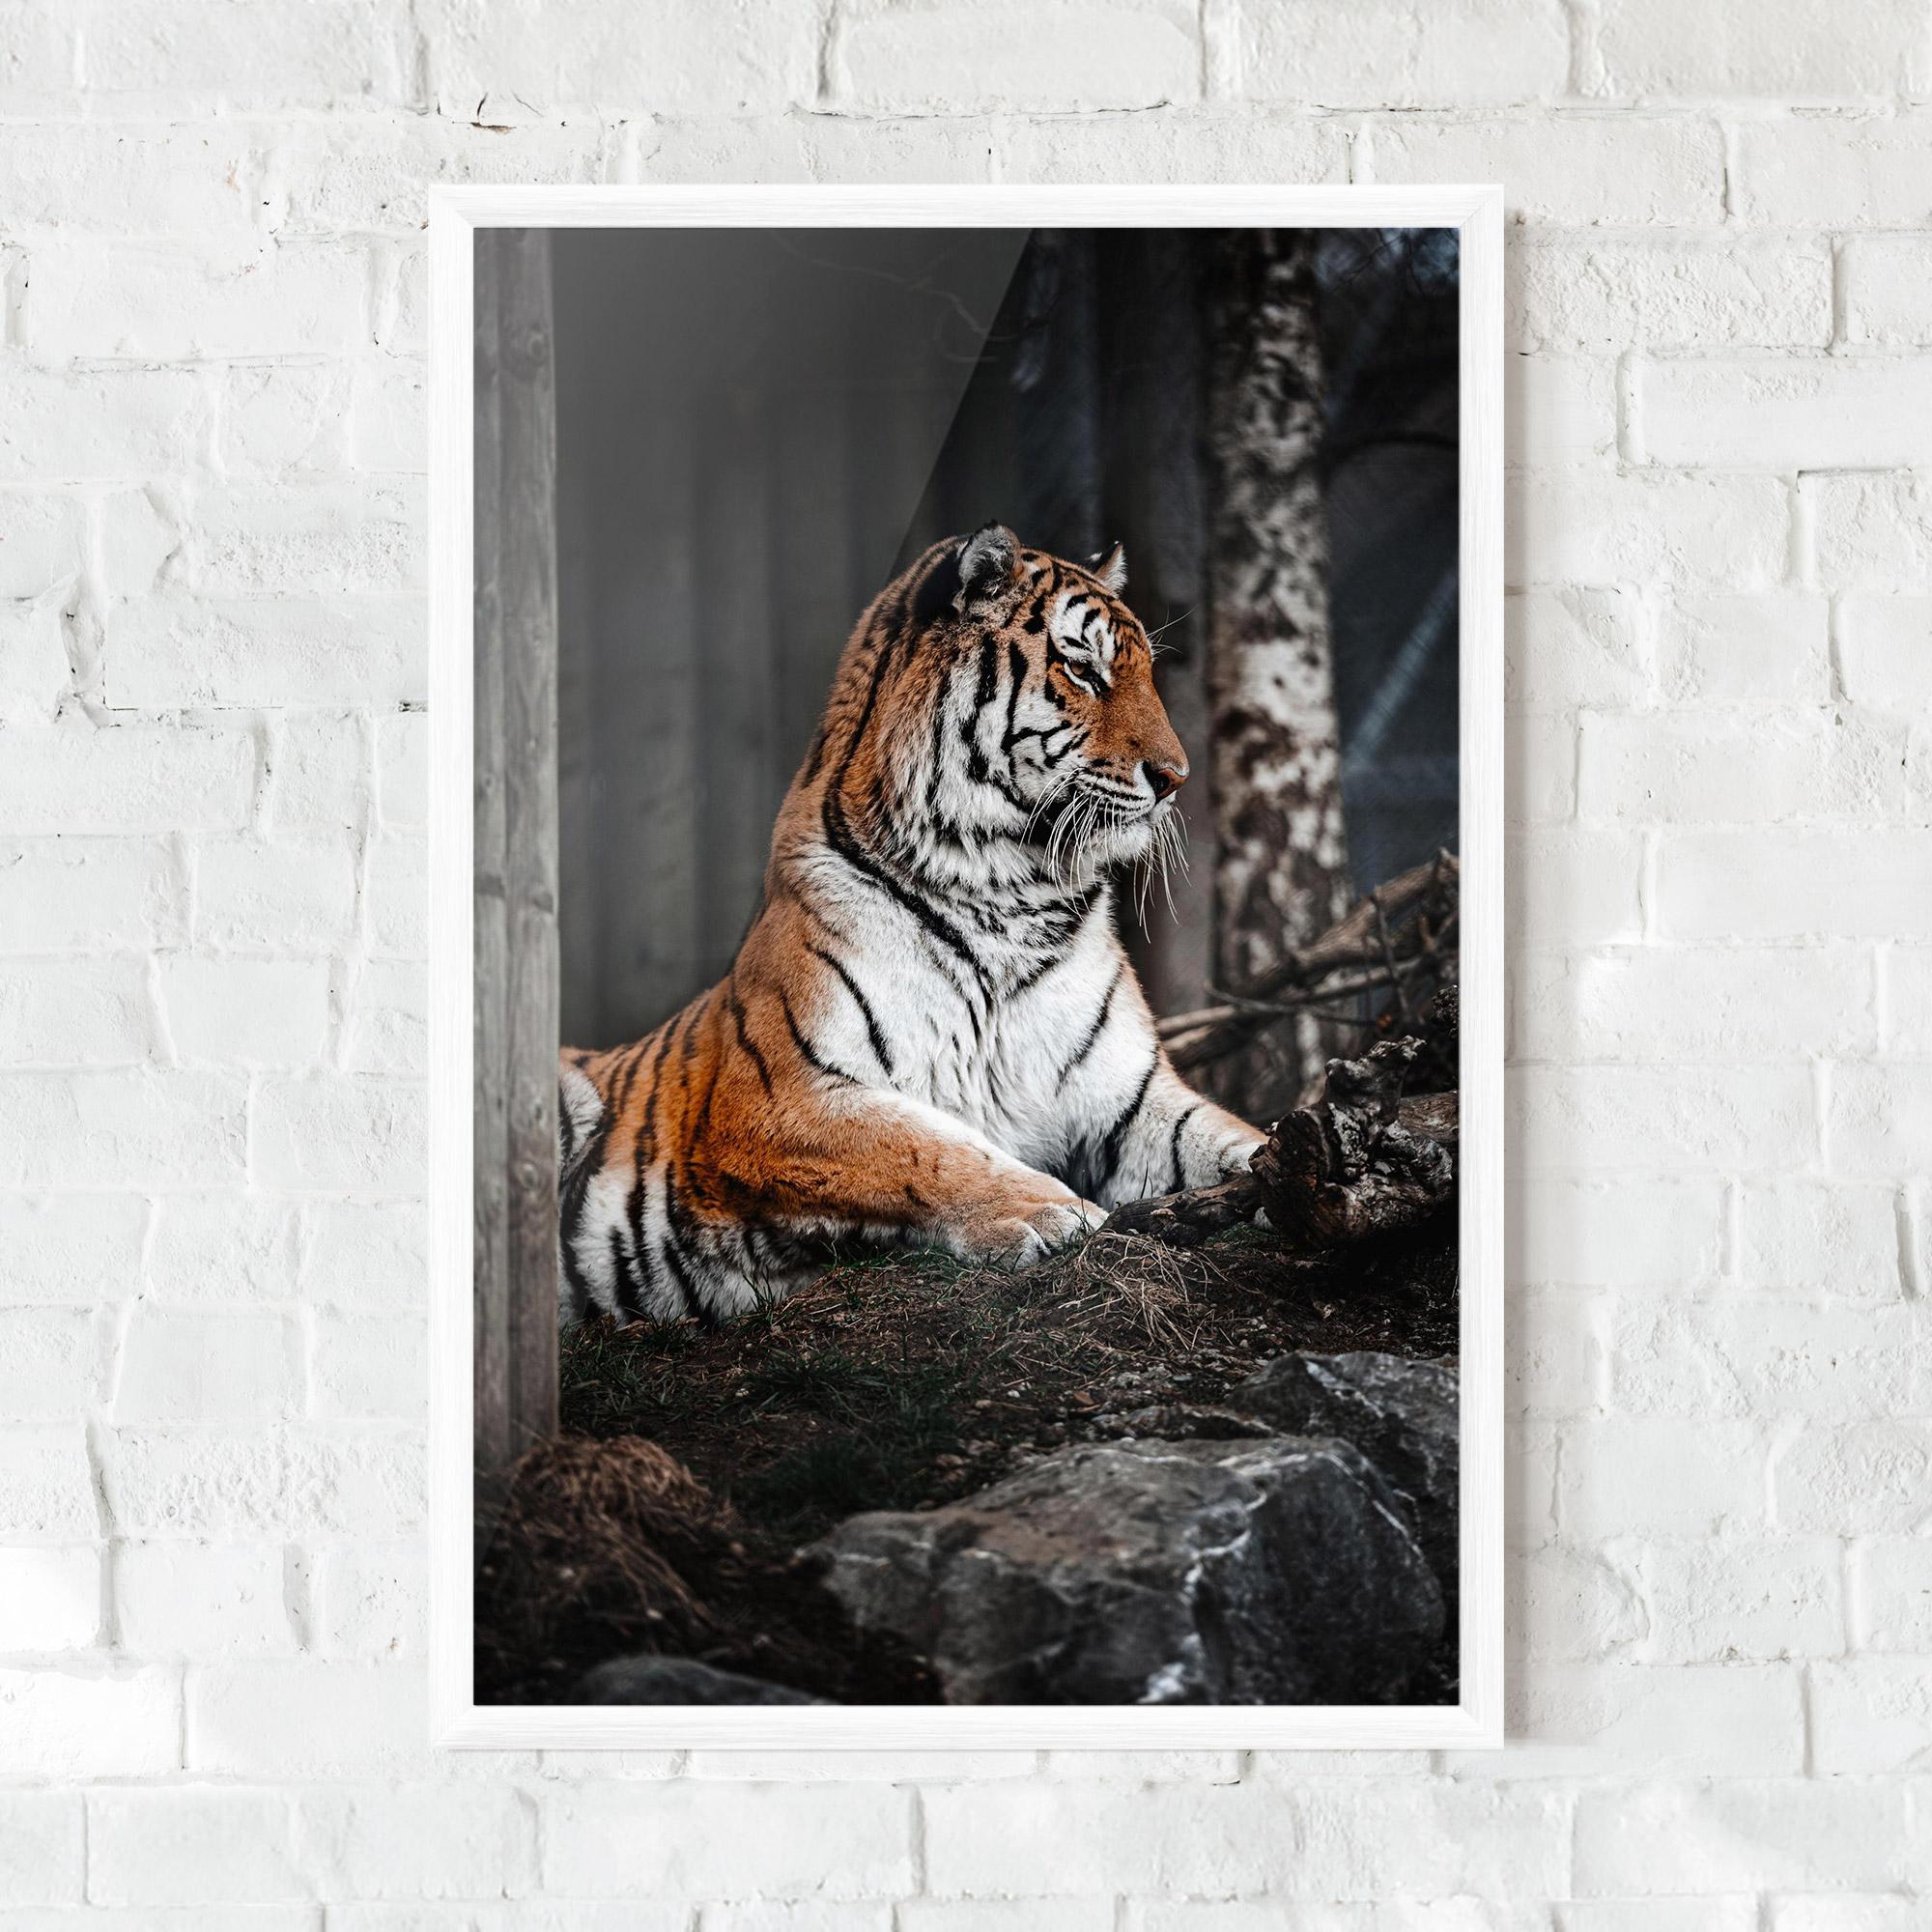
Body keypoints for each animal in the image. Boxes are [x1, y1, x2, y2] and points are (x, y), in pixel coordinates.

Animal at [556, 522, 1265, 1327]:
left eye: (1144, 671)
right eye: (1082, 669)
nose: (1176, 780)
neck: (1011, 894)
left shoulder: (1131, 1101)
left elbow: (1232, 1136)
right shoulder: (776, 1097)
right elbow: (927, 1149)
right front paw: (1050, 1212)